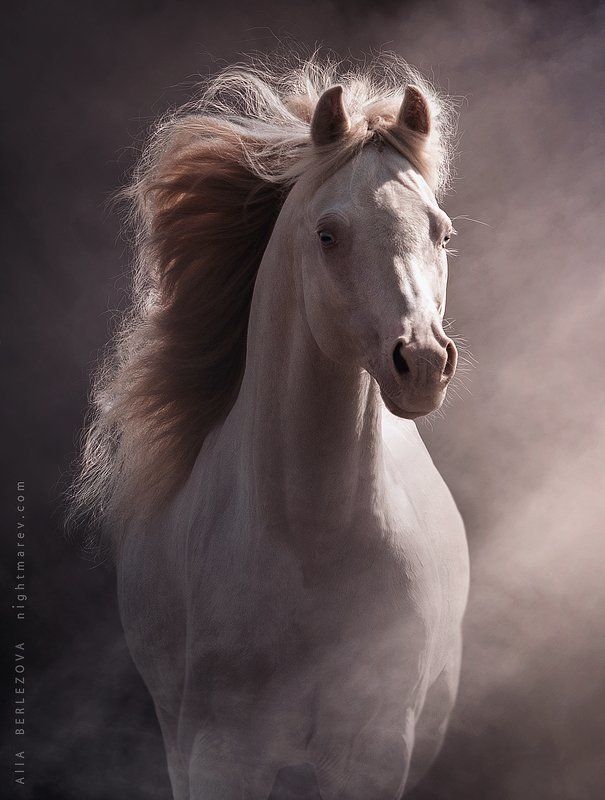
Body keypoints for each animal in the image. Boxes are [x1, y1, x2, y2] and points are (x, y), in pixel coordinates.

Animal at [71, 57, 469, 799]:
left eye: (442, 232)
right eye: (327, 235)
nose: (422, 362)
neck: (314, 545)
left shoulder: (374, 755)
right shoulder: (222, 756)